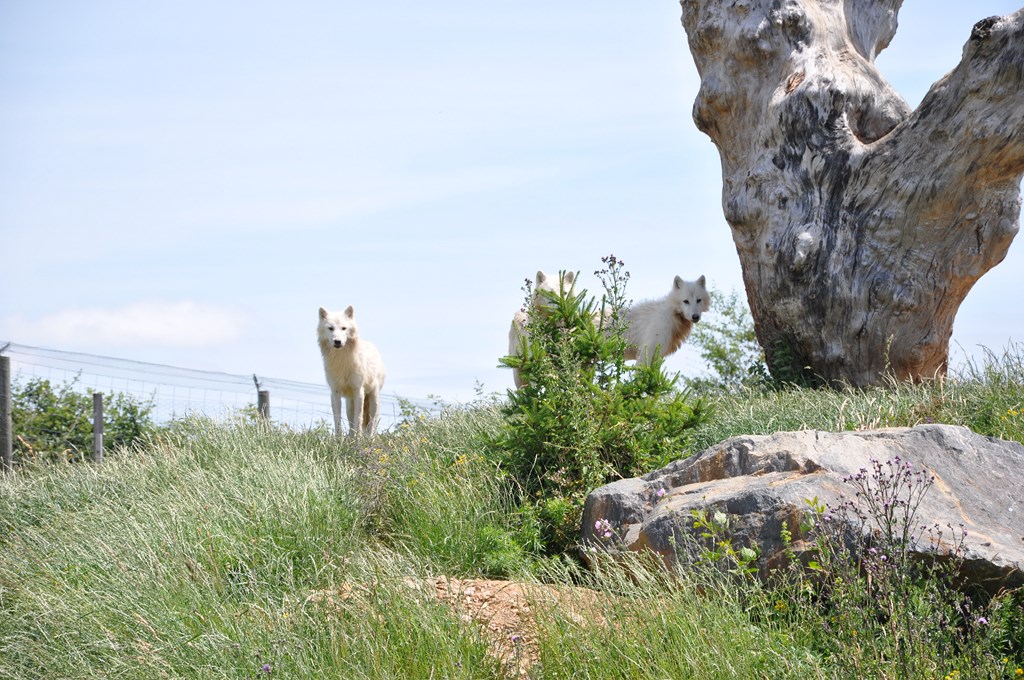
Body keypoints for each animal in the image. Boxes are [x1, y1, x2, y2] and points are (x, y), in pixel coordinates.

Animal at [317, 306, 387, 436]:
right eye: (331, 328)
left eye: (344, 328)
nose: (337, 341)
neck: (341, 360)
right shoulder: (335, 392)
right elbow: (337, 419)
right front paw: (339, 439)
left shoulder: (358, 391)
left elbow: (358, 419)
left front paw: (358, 439)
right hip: (350, 404)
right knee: (351, 423)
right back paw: (350, 437)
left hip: (373, 399)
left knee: (371, 424)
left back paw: (368, 438)